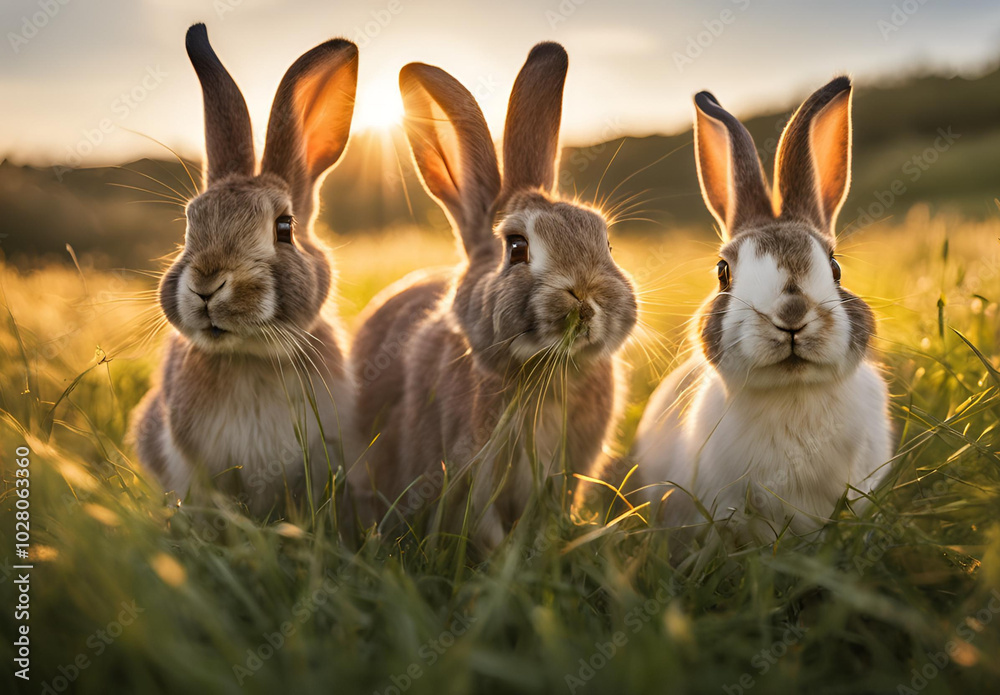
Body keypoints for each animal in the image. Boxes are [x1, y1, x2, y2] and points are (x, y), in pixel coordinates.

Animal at [349, 43, 638, 549]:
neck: (545, 375)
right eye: (517, 248)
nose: (585, 299)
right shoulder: (472, 473)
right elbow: (484, 527)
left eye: (605, 242)